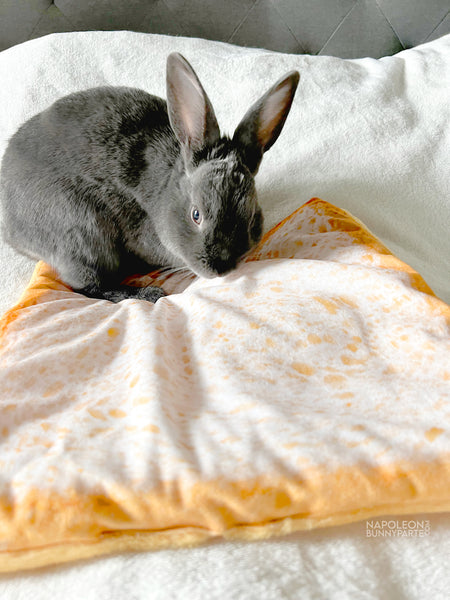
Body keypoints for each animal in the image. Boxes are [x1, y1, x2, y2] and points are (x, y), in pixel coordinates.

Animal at [1, 52, 300, 302]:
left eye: (251, 219)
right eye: (196, 215)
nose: (222, 268)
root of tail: (12, 230)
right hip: (83, 231)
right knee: (87, 286)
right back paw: (148, 293)